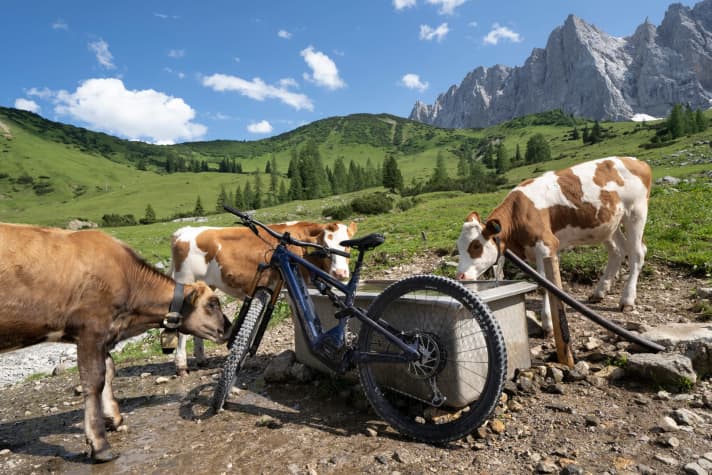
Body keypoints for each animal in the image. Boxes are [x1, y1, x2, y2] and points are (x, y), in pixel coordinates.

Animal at [0, 223, 231, 462]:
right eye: (212, 303)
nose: (229, 328)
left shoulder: (106, 335)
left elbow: (109, 371)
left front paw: (113, 418)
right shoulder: (91, 331)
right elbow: (94, 381)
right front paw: (99, 443)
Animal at [169, 220, 358, 376]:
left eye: (347, 246)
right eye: (322, 246)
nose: (340, 273)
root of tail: (185, 231)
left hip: (206, 284)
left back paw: (201, 359)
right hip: (185, 280)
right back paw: (181, 365)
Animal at [456, 156, 652, 335]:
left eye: (476, 246)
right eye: (458, 246)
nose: (460, 276)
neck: (519, 212)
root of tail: (637, 161)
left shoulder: (546, 245)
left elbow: (546, 286)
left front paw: (548, 324)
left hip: (636, 213)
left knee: (637, 253)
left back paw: (627, 300)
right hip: (608, 224)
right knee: (618, 251)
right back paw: (599, 292)